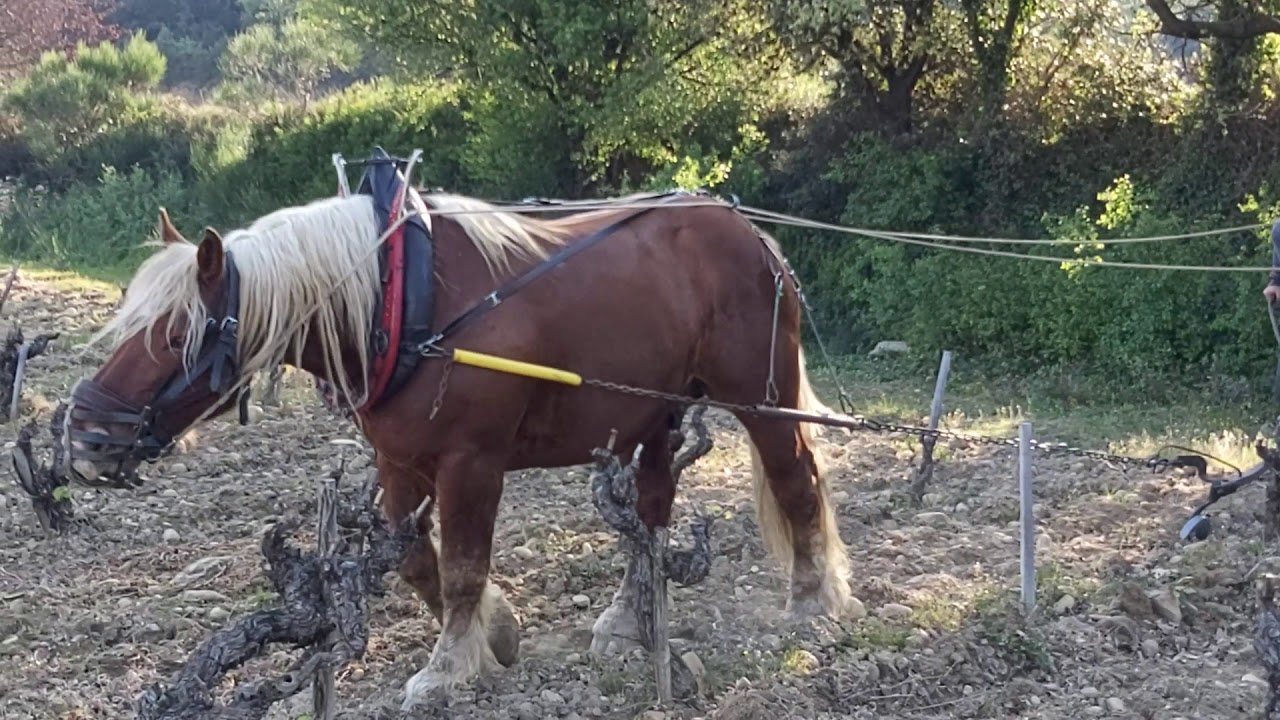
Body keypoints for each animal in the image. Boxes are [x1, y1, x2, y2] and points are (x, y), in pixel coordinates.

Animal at [62, 183, 856, 708]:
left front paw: (448, 667)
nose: (86, 436)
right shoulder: (398, 461)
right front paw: (497, 633)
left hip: (760, 399)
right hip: (654, 412)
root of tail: (752, 235)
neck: (402, 303)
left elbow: (466, 565)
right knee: (653, 512)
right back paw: (632, 622)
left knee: (794, 480)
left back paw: (811, 603)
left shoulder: (472, 464)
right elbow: (420, 560)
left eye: (177, 334)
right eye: (129, 315)